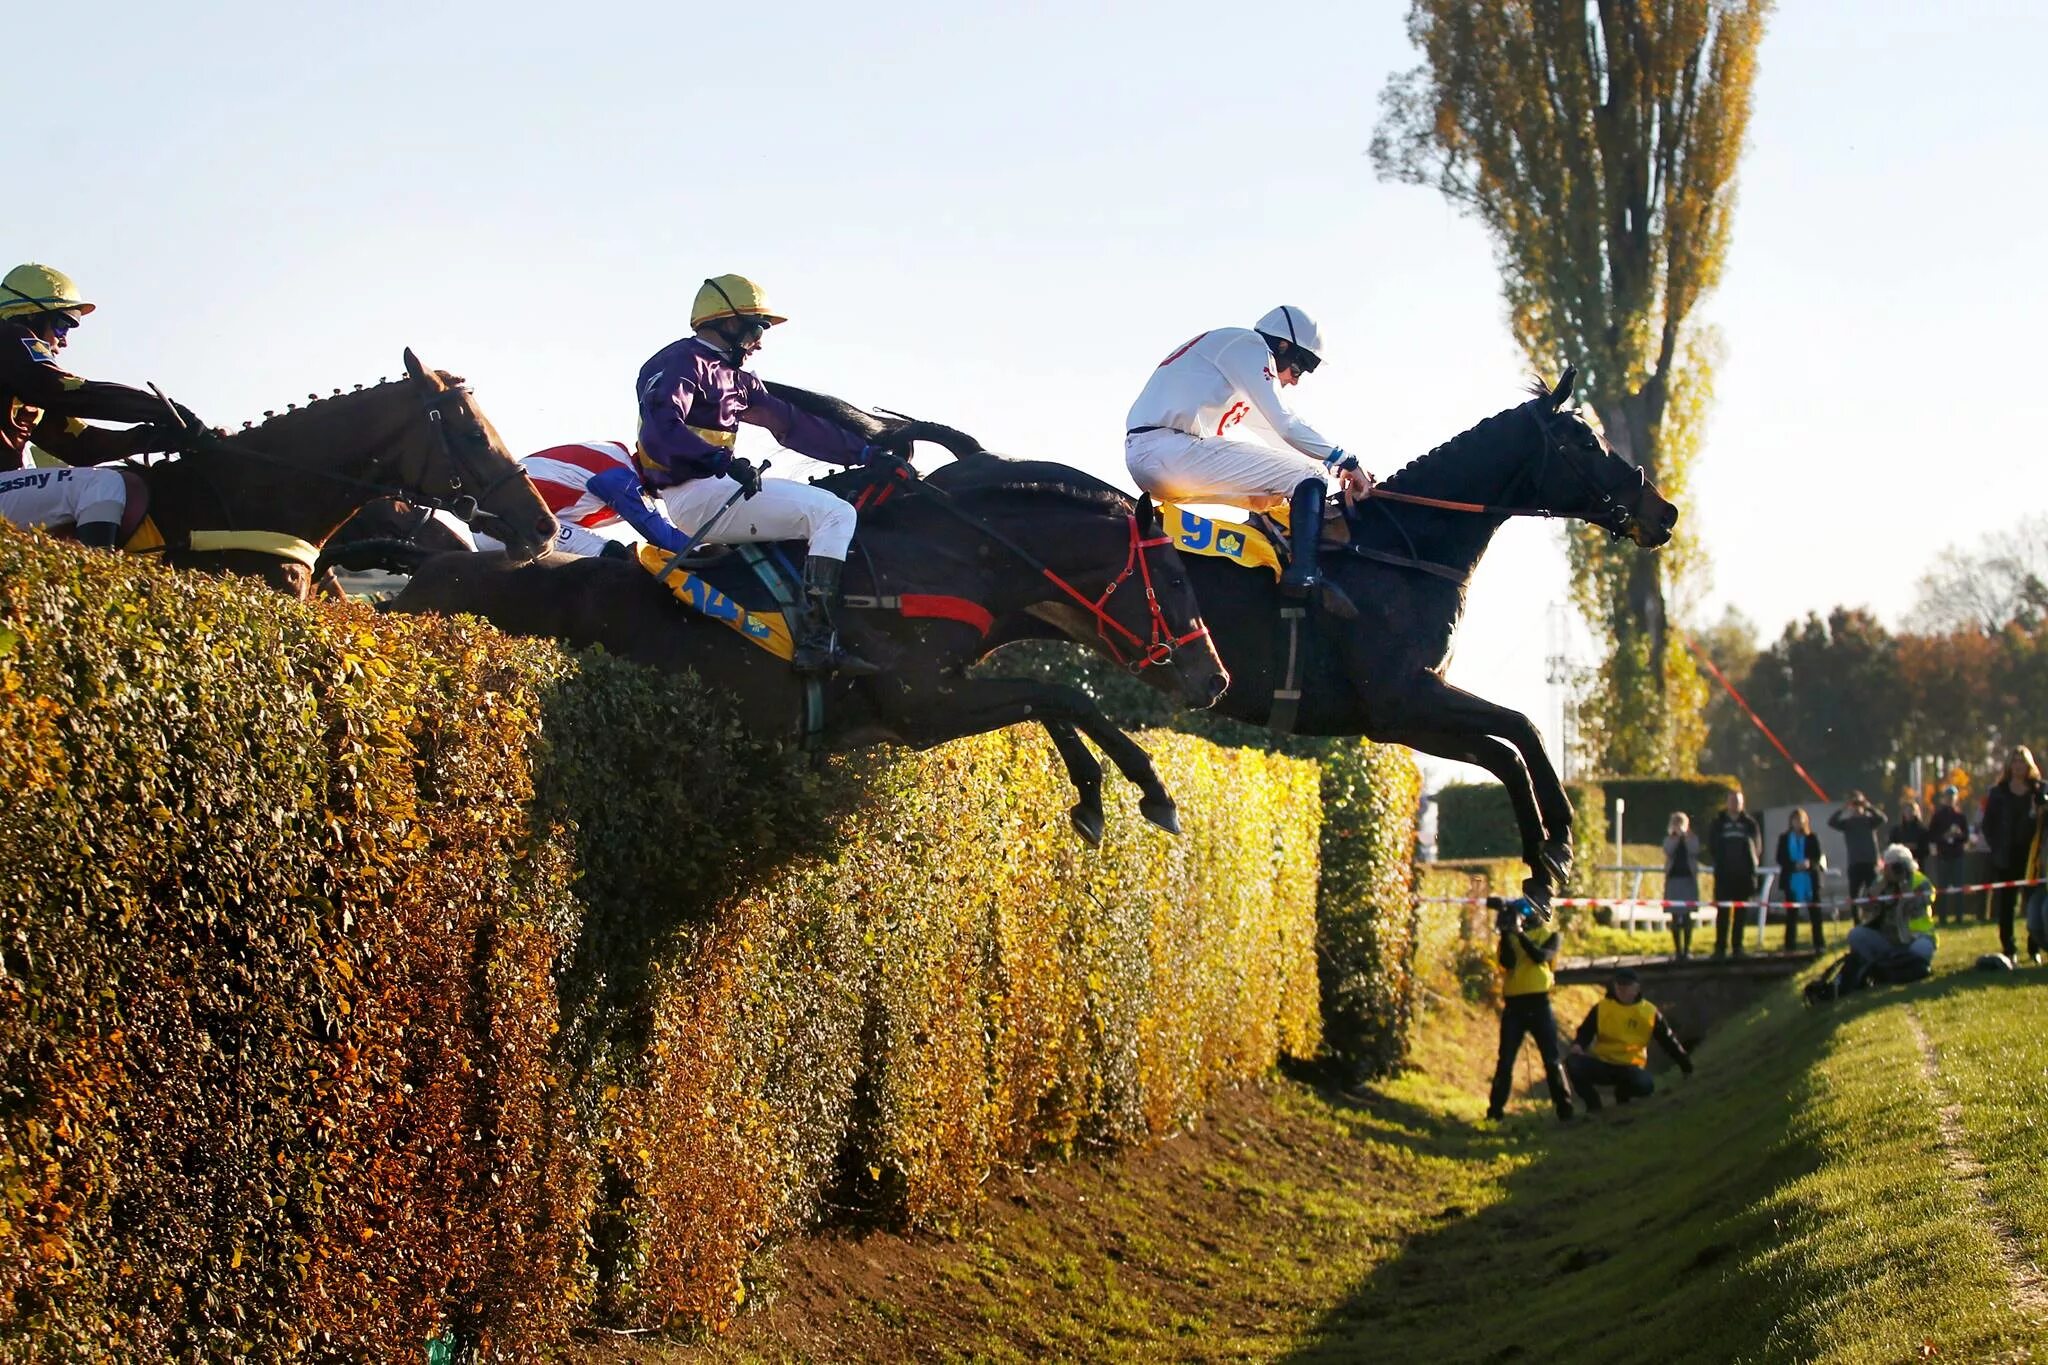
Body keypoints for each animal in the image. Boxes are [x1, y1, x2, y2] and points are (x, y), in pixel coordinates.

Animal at [376, 464, 1220, 839]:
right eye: (1179, 576)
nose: (1214, 677)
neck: (944, 562)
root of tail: (420, 577)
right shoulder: (921, 704)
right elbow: (1062, 695)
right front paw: (1144, 790)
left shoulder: (926, 703)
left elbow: (1053, 704)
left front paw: (1101, 795)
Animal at [942, 374, 1679, 900]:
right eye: (1584, 443)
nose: (1663, 511)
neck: (1399, 550)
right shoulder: (1402, 699)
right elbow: (1521, 730)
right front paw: (1558, 844)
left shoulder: (1403, 715)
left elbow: (1504, 751)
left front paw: (1541, 864)